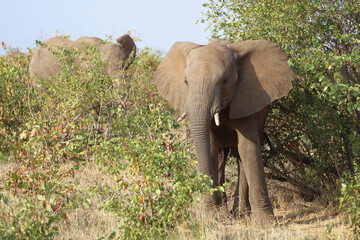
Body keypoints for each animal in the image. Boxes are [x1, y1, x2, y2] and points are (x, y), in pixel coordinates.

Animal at [154, 39, 296, 223]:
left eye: (225, 80)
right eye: (185, 82)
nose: (214, 201)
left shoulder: (246, 99)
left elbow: (248, 149)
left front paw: (266, 223)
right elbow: (210, 149)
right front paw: (212, 216)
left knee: (240, 157)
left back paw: (241, 213)